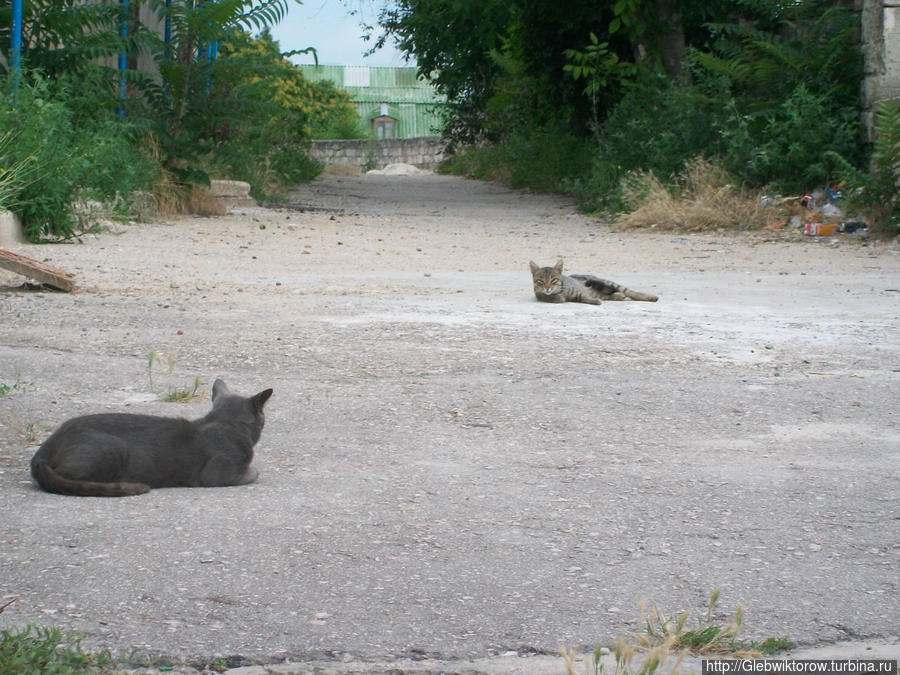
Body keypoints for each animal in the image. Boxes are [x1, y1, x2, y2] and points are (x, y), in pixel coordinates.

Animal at [528, 260, 660, 304]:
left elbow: (585, 297)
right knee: (609, 295)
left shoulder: (579, 292)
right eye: (540, 281)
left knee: (631, 292)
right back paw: (618, 295)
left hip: (608, 283)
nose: (547, 288)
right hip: (602, 291)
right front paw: (556, 297)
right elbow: (551, 298)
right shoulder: (539, 295)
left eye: (553, 280)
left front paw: (594, 301)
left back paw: (650, 297)